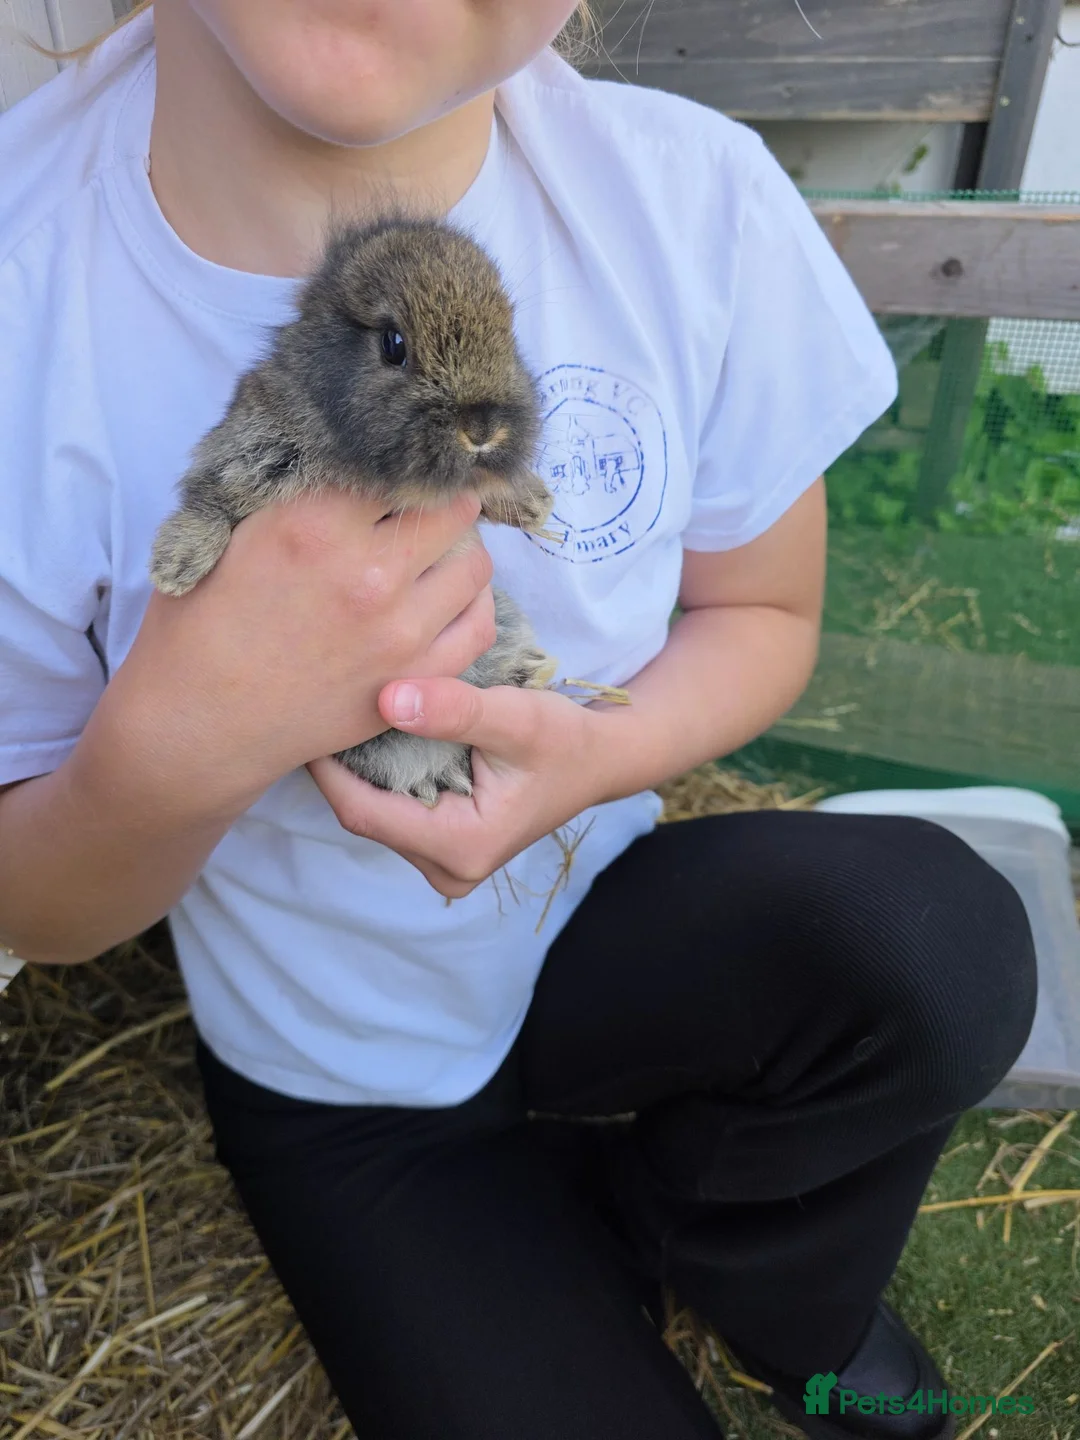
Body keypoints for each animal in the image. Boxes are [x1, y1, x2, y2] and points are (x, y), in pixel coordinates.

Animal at [149, 212, 559, 807]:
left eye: (509, 332)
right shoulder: (250, 449)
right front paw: (175, 569)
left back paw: (528, 676)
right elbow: (212, 499)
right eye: (394, 345)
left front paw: (534, 504)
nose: (481, 429)